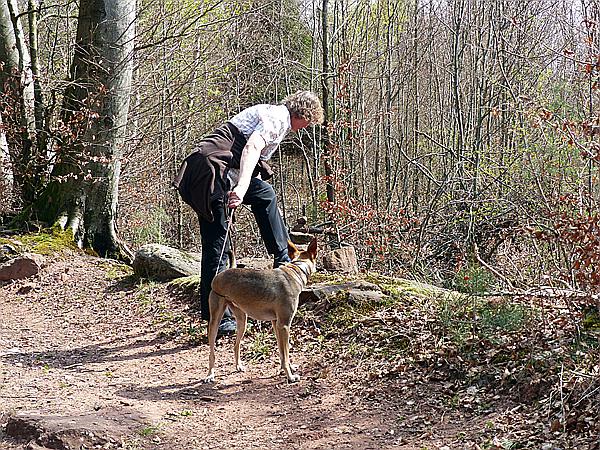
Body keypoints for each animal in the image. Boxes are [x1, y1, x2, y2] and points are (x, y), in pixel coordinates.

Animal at [205, 237, 318, 382]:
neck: (296, 269)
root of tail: (220, 275)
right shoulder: (284, 325)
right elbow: (286, 353)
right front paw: (290, 376)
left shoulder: (276, 324)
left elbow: (282, 353)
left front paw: (288, 369)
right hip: (215, 322)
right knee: (212, 352)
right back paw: (210, 374)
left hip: (242, 322)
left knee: (236, 345)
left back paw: (238, 366)